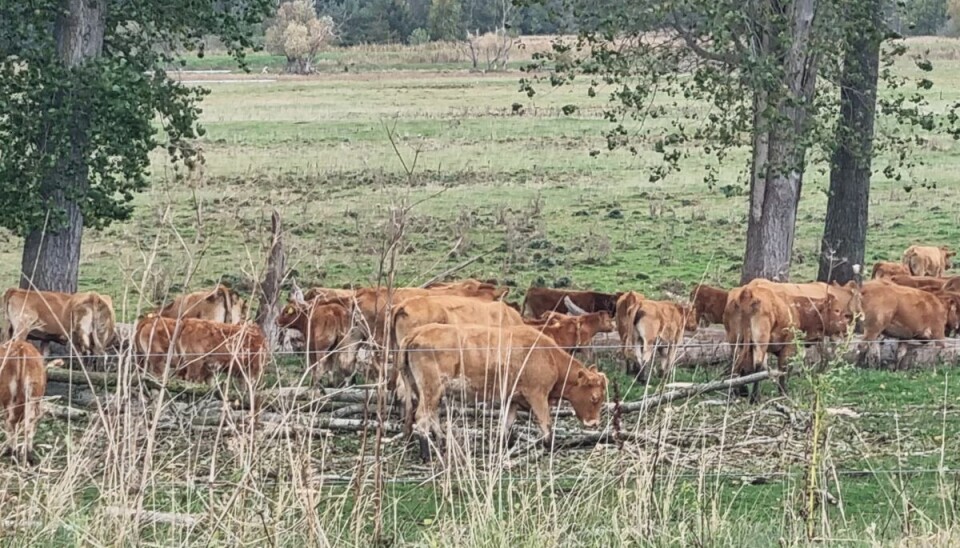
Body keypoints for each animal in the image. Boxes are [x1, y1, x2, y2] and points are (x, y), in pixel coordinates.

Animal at [398, 324, 608, 460]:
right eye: (595, 397)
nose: (594, 423)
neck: (548, 354)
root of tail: (417, 332)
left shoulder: (512, 399)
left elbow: (506, 426)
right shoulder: (537, 395)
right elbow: (546, 423)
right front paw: (550, 446)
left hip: (427, 390)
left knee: (432, 415)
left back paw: (442, 443)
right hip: (431, 388)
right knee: (422, 416)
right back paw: (426, 453)